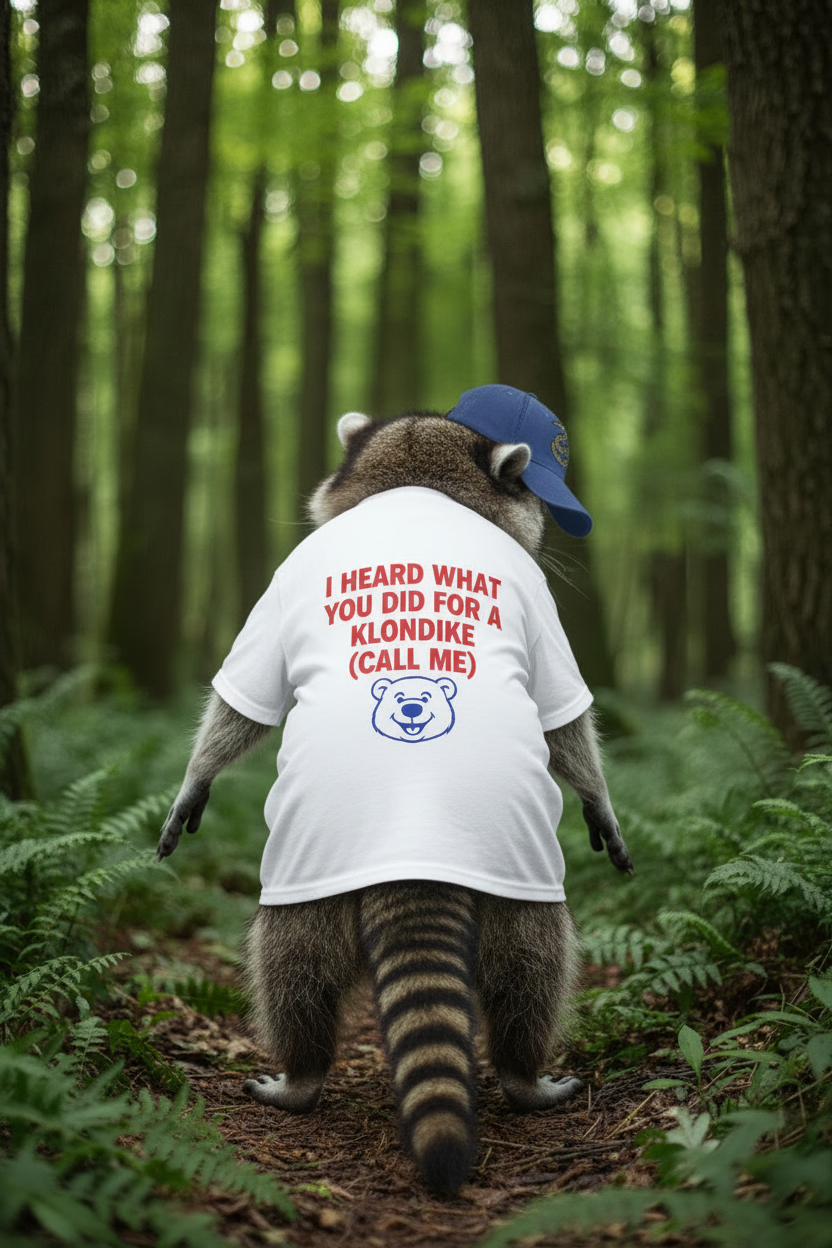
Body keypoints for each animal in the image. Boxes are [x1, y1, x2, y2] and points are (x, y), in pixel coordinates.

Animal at [157, 390, 632, 1198]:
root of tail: (416, 850)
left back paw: (322, 1068)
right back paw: (501, 1068)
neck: (415, 480)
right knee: (529, 961)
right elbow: (563, 720)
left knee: (298, 965)